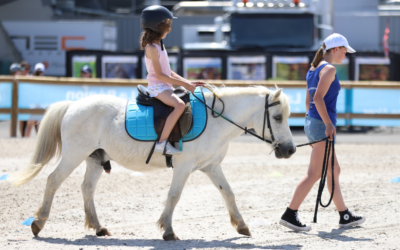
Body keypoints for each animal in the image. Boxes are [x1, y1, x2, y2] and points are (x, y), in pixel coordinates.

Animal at [10, 85, 296, 240]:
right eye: (278, 117)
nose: (291, 149)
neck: (216, 120)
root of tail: (72, 106)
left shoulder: (211, 167)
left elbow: (229, 193)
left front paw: (242, 225)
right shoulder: (184, 167)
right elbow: (174, 196)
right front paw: (168, 230)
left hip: (95, 159)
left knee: (87, 189)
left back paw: (99, 227)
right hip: (74, 155)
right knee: (53, 180)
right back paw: (38, 222)